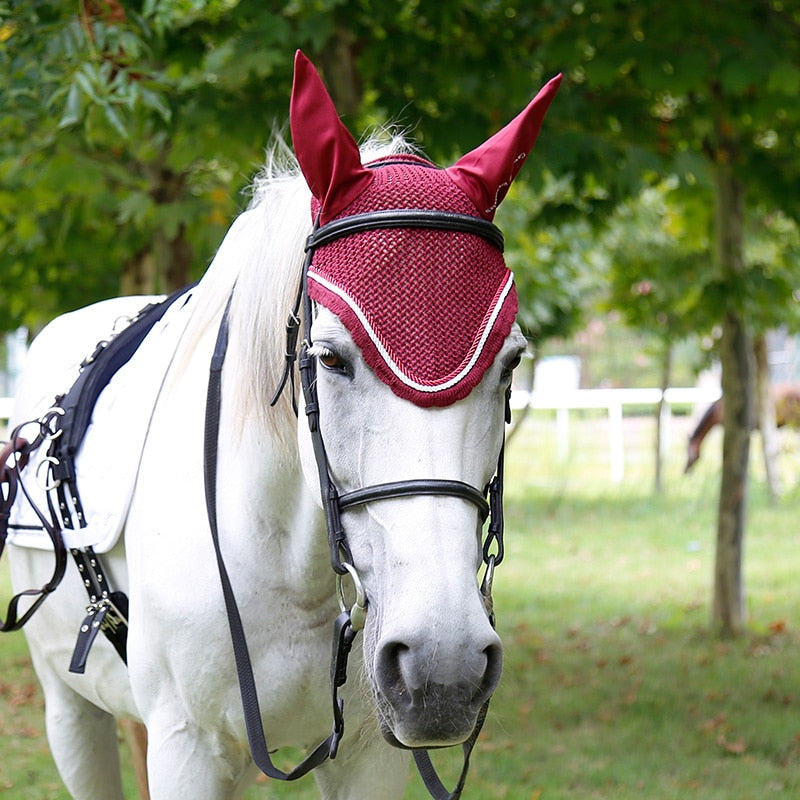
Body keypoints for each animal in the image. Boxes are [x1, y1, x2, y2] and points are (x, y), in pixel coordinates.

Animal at [1, 51, 561, 800]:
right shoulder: (189, 747)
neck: (291, 570)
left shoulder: (370, 757)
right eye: (330, 358)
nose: (443, 665)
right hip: (70, 710)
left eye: (511, 361)